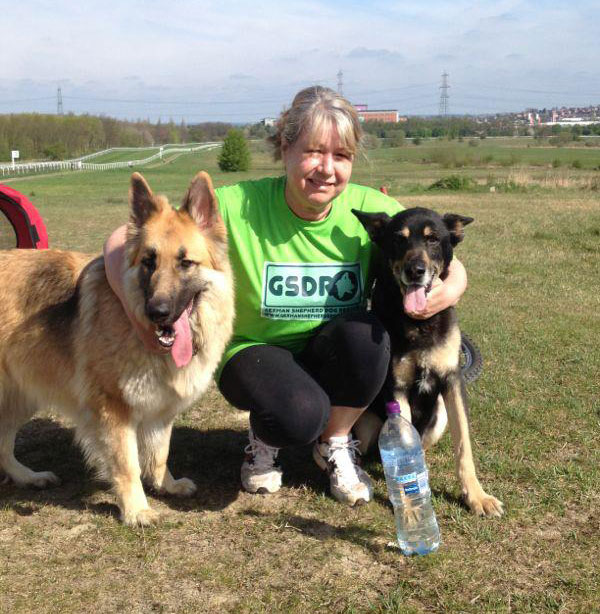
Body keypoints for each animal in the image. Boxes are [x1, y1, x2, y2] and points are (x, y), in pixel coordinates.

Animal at [354, 208, 504, 520]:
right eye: (399, 240)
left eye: (433, 239)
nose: (415, 271)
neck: (418, 322)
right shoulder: (397, 387)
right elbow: (403, 452)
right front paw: (411, 503)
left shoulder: (452, 381)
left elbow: (464, 447)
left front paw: (476, 496)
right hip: (368, 423)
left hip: (440, 416)